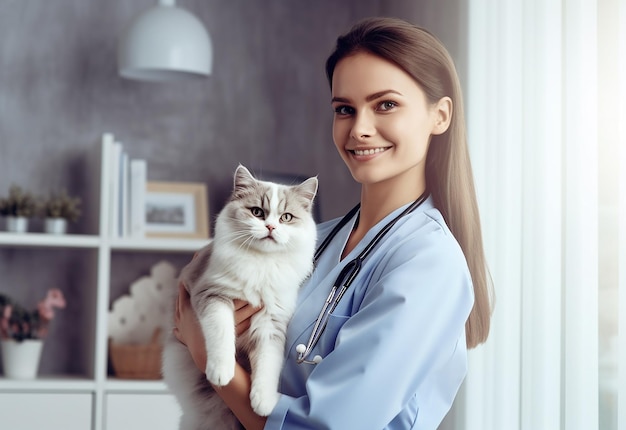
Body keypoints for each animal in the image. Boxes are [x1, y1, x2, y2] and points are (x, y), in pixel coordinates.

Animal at [161, 165, 316, 430]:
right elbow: (222, 335)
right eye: (257, 212)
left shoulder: (271, 321)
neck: (262, 264)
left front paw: (263, 402)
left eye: (286, 218)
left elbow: (268, 363)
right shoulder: (213, 295)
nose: (271, 228)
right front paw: (221, 372)